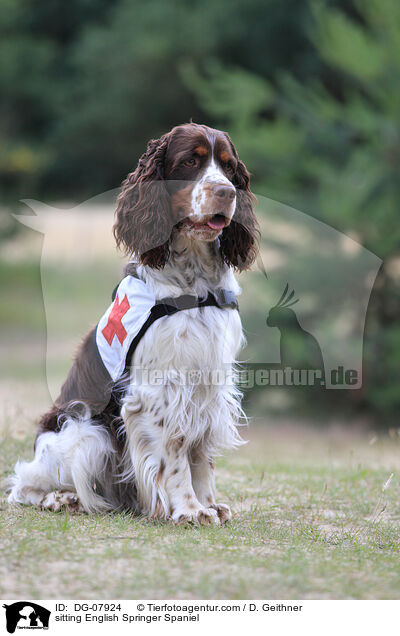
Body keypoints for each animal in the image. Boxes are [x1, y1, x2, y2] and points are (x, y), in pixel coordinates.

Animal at [9, 121, 260, 524]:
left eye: (228, 166)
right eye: (190, 161)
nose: (226, 192)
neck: (194, 283)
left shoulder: (209, 384)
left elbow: (201, 451)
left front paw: (209, 503)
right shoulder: (159, 391)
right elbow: (175, 451)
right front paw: (188, 508)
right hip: (87, 431)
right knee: (23, 485)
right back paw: (62, 498)